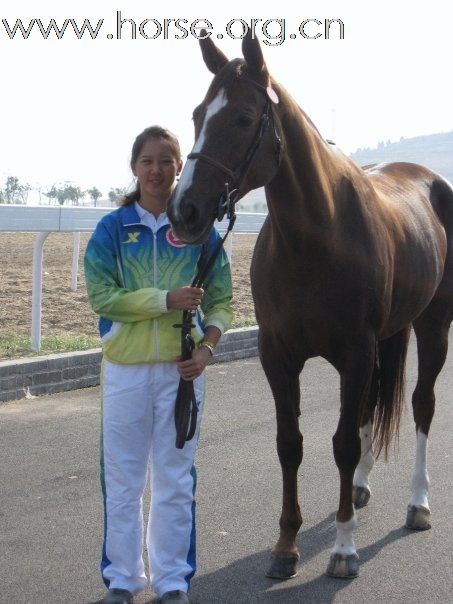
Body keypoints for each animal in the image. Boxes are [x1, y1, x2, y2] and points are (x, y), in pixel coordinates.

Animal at [167, 33, 452, 580]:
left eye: (242, 117)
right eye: (196, 115)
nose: (183, 210)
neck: (317, 238)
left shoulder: (355, 354)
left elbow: (341, 443)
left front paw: (343, 547)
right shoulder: (278, 355)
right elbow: (290, 444)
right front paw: (285, 545)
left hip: (433, 326)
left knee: (421, 404)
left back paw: (418, 503)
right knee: (371, 406)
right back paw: (360, 486)